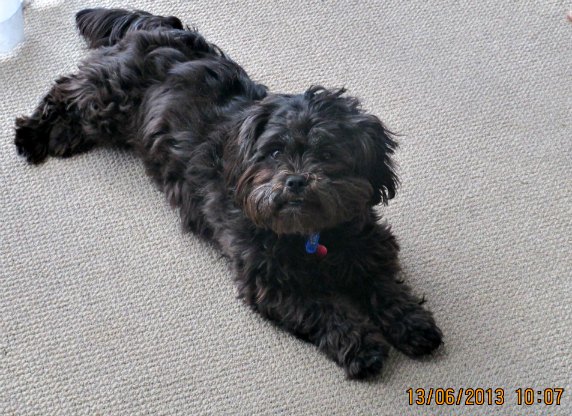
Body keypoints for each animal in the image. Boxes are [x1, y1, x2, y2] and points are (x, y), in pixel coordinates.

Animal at [14, 8, 442, 380]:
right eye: (274, 152)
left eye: (328, 153)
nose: (296, 181)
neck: (310, 234)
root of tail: (157, 25)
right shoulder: (268, 281)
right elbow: (323, 310)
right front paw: (360, 347)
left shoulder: (369, 245)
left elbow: (384, 285)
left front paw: (412, 324)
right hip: (107, 99)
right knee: (66, 88)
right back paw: (33, 135)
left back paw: (60, 136)